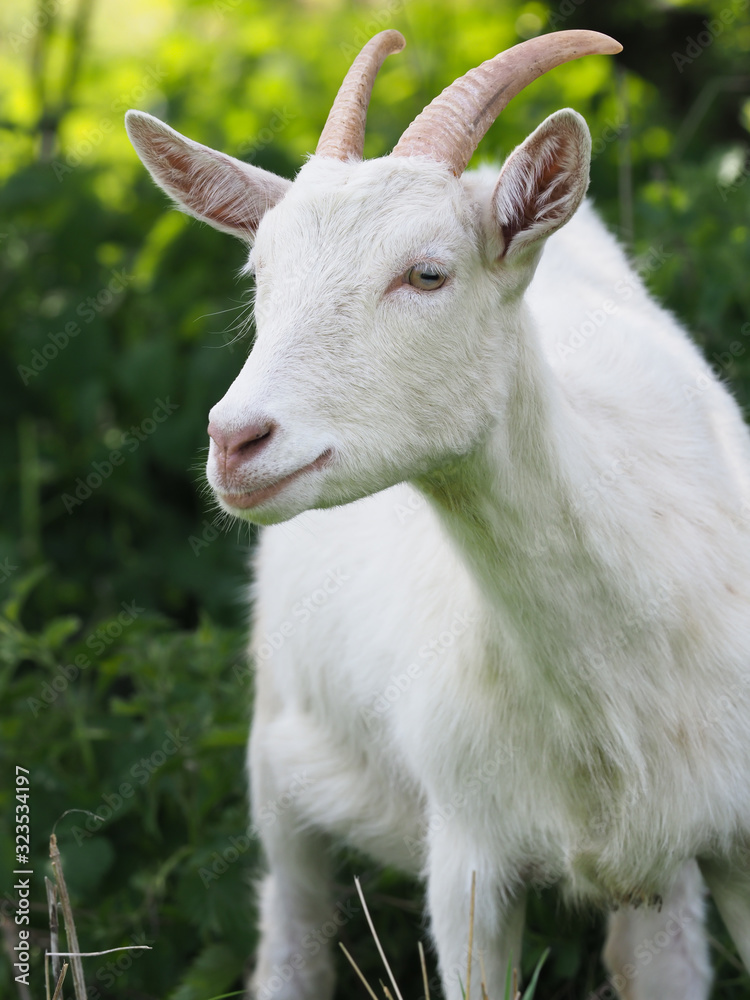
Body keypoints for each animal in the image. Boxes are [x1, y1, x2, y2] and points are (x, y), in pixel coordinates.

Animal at [126, 27, 750, 1000]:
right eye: (260, 274)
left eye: (427, 273)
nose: (237, 440)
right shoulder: (467, 851)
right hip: (280, 752)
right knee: (291, 931)